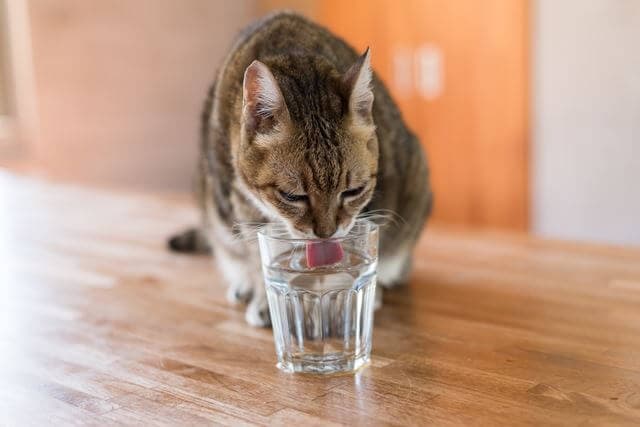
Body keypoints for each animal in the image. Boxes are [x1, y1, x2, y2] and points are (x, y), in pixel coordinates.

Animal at [168, 12, 432, 328]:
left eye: (353, 191)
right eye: (293, 196)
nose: (327, 233)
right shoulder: (242, 207)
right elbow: (258, 256)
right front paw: (270, 300)